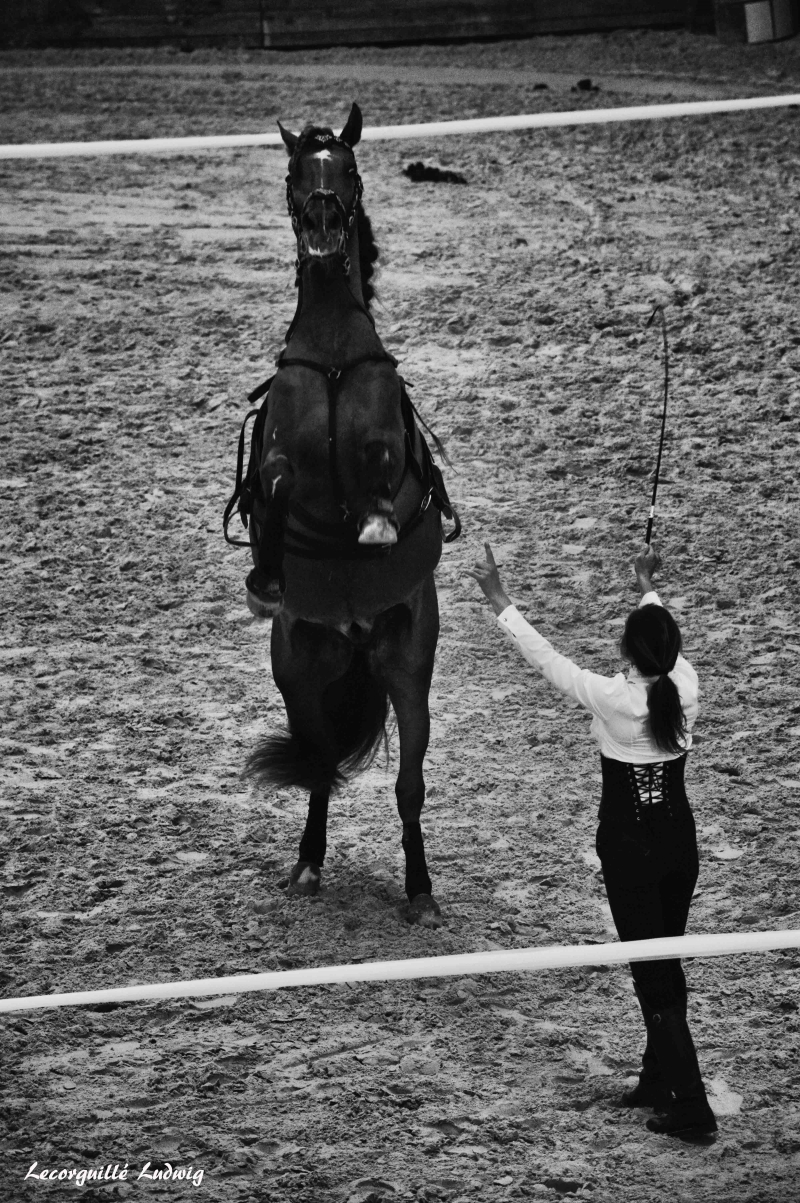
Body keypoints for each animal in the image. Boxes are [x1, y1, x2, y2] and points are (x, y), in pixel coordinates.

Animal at [227, 105, 459, 928]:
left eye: (349, 170)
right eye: (297, 171)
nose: (325, 217)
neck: (331, 350)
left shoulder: (383, 437)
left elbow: (380, 465)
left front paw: (377, 523)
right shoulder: (280, 455)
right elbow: (273, 480)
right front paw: (266, 568)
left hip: (409, 670)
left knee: (409, 786)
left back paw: (419, 888)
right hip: (299, 672)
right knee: (321, 764)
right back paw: (307, 864)